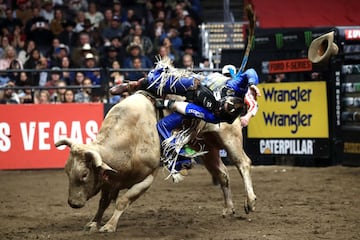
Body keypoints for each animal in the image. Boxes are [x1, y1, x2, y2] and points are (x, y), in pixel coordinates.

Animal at [54, 91, 256, 232]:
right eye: (67, 171)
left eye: (84, 174)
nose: (73, 203)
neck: (129, 137)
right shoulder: (110, 179)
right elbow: (103, 202)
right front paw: (94, 223)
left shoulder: (147, 177)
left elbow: (124, 200)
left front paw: (110, 226)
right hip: (208, 148)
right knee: (223, 175)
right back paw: (228, 208)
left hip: (230, 138)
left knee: (243, 163)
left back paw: (250, 201)